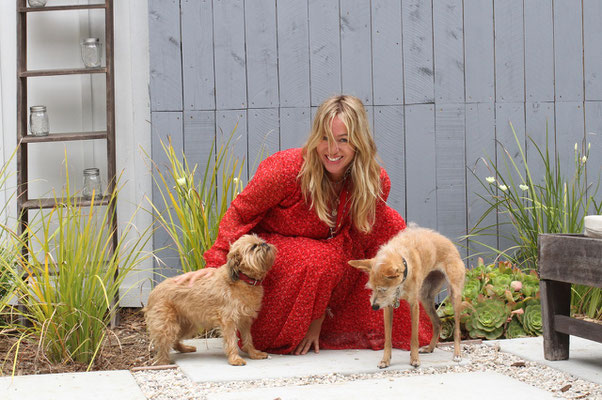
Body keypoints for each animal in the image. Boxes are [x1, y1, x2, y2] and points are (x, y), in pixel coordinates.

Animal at [144, 233, 276, 368]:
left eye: (261, 241)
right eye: (253, 247)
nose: (264, 244)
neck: (242, 279)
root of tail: (153, 292)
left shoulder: (245, 321)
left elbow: (248, 338)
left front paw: (253, 353)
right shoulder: (229, 321)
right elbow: (231, 340)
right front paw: (235, 359)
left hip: (186, 324)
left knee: (175, 341)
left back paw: (185, 349)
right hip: (168, 326)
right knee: (163, 347)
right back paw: (163, 363)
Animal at [346, 225, 464, 368]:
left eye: (383, 289)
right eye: (372, 289)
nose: (374, 307)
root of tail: (450, 243)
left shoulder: (414, 305)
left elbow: (414, 337)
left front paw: (415, 359)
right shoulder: (388, 307)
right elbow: (387, 338)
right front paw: (385, 360)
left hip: (454, 295)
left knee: (457, 329)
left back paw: (457, 354)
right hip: (425, 297)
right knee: (437, 322)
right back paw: (430, 348)